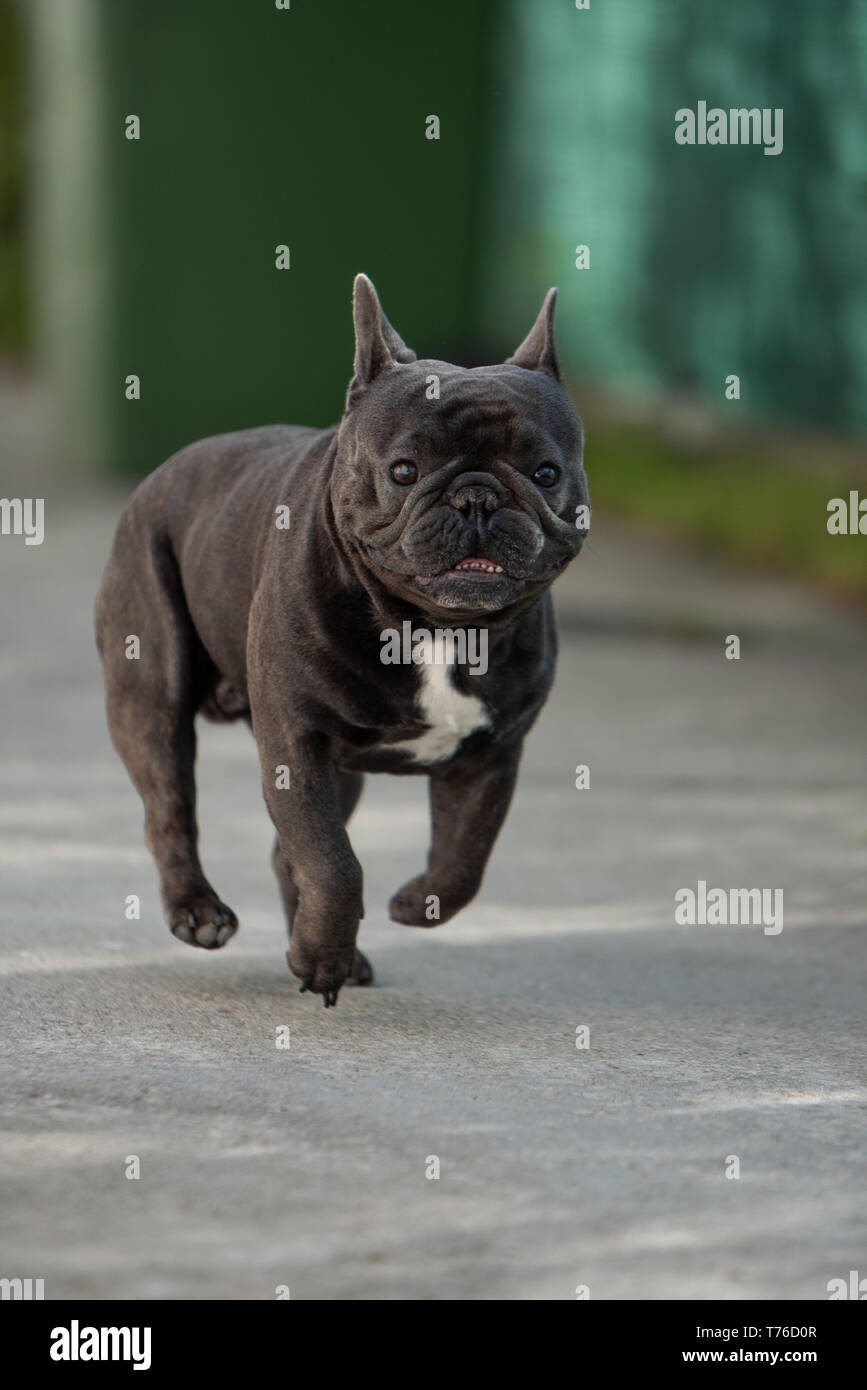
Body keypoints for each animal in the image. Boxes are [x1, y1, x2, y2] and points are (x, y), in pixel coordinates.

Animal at [97, 276, 591, 1006]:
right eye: (405, 470)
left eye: (547, 474)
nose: (476, 497)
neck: (438, 629)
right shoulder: (298, 747)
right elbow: (333, 863)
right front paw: (323, 953)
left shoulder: (491, 755)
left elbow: (466, 856)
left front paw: (413, 906)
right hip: (151, 689)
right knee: (170, 806)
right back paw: (199, 913)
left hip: (342, 770)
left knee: (285, 852)